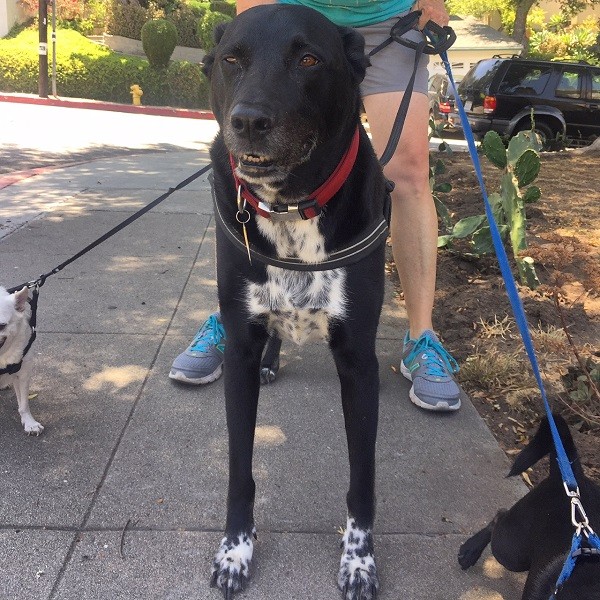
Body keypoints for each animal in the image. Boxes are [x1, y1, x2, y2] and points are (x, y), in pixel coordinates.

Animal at [202, 4, 390, 600]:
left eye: (309, 59)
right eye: (232, 59)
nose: (248, 121)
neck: (291, 207)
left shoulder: (357, 359)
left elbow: (363, 477)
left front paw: (359, 560)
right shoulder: (239, 345)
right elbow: (239, 470)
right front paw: (235, 551)